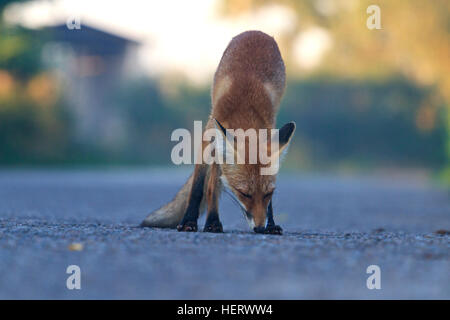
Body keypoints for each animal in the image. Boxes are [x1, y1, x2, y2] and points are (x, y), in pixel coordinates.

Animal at [141, 30, 296, 235]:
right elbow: (200, 188)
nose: (260, 228)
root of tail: (256, 32)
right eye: (244, 194)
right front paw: (191, 221)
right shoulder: (208, 137)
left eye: (268, 194)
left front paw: (271, 225)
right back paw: (211, 221)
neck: (245, 111)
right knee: (211, 184)